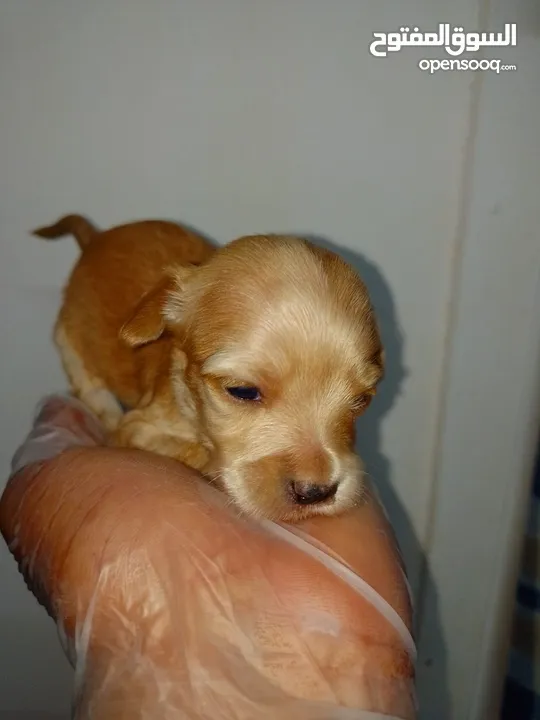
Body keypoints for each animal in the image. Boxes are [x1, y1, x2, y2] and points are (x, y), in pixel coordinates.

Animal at [34, 214, 384, 516]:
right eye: (242, 391)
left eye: (361, 400)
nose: (317, 493)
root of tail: (94, 238)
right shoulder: (136, 428)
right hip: (72, 348)